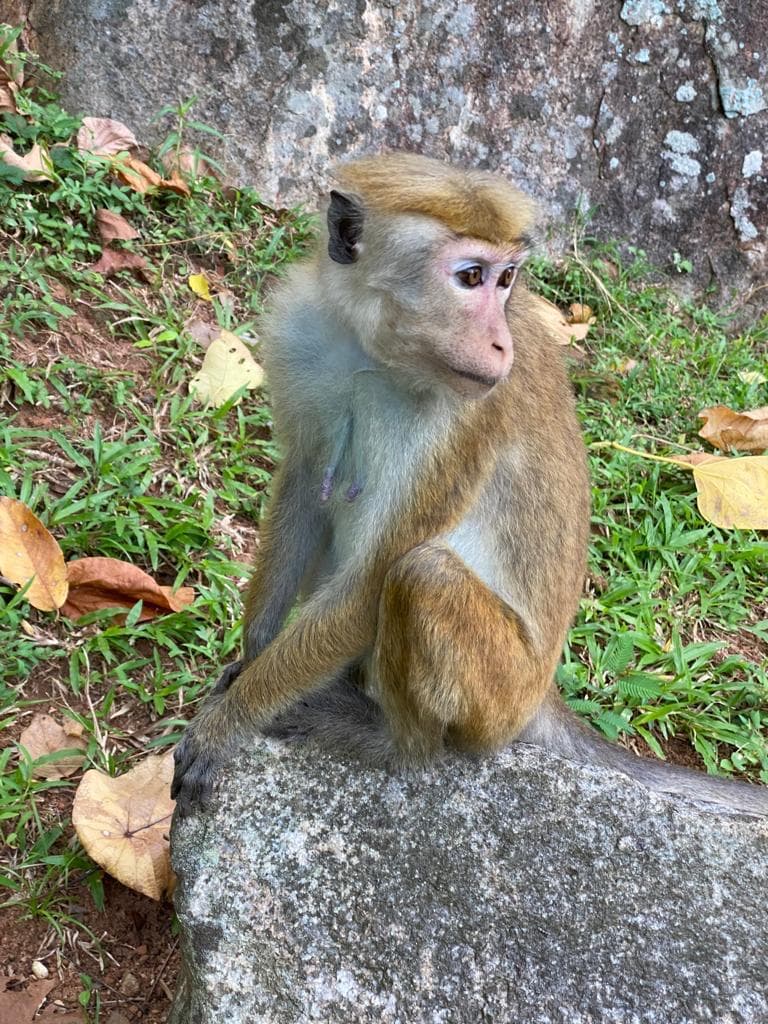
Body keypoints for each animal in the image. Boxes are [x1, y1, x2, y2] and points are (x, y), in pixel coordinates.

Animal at [172, 152, 768, 819]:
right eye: (472, 276)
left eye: (506, 280)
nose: (499, 342)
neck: (375, 352)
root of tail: (539, 696)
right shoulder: (303, 330)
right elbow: (304, 479)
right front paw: (249, 663)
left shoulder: (466, 422)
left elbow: (372, 580)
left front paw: (232, 720)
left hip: (498, 694)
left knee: (422, 576)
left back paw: (392, 740)